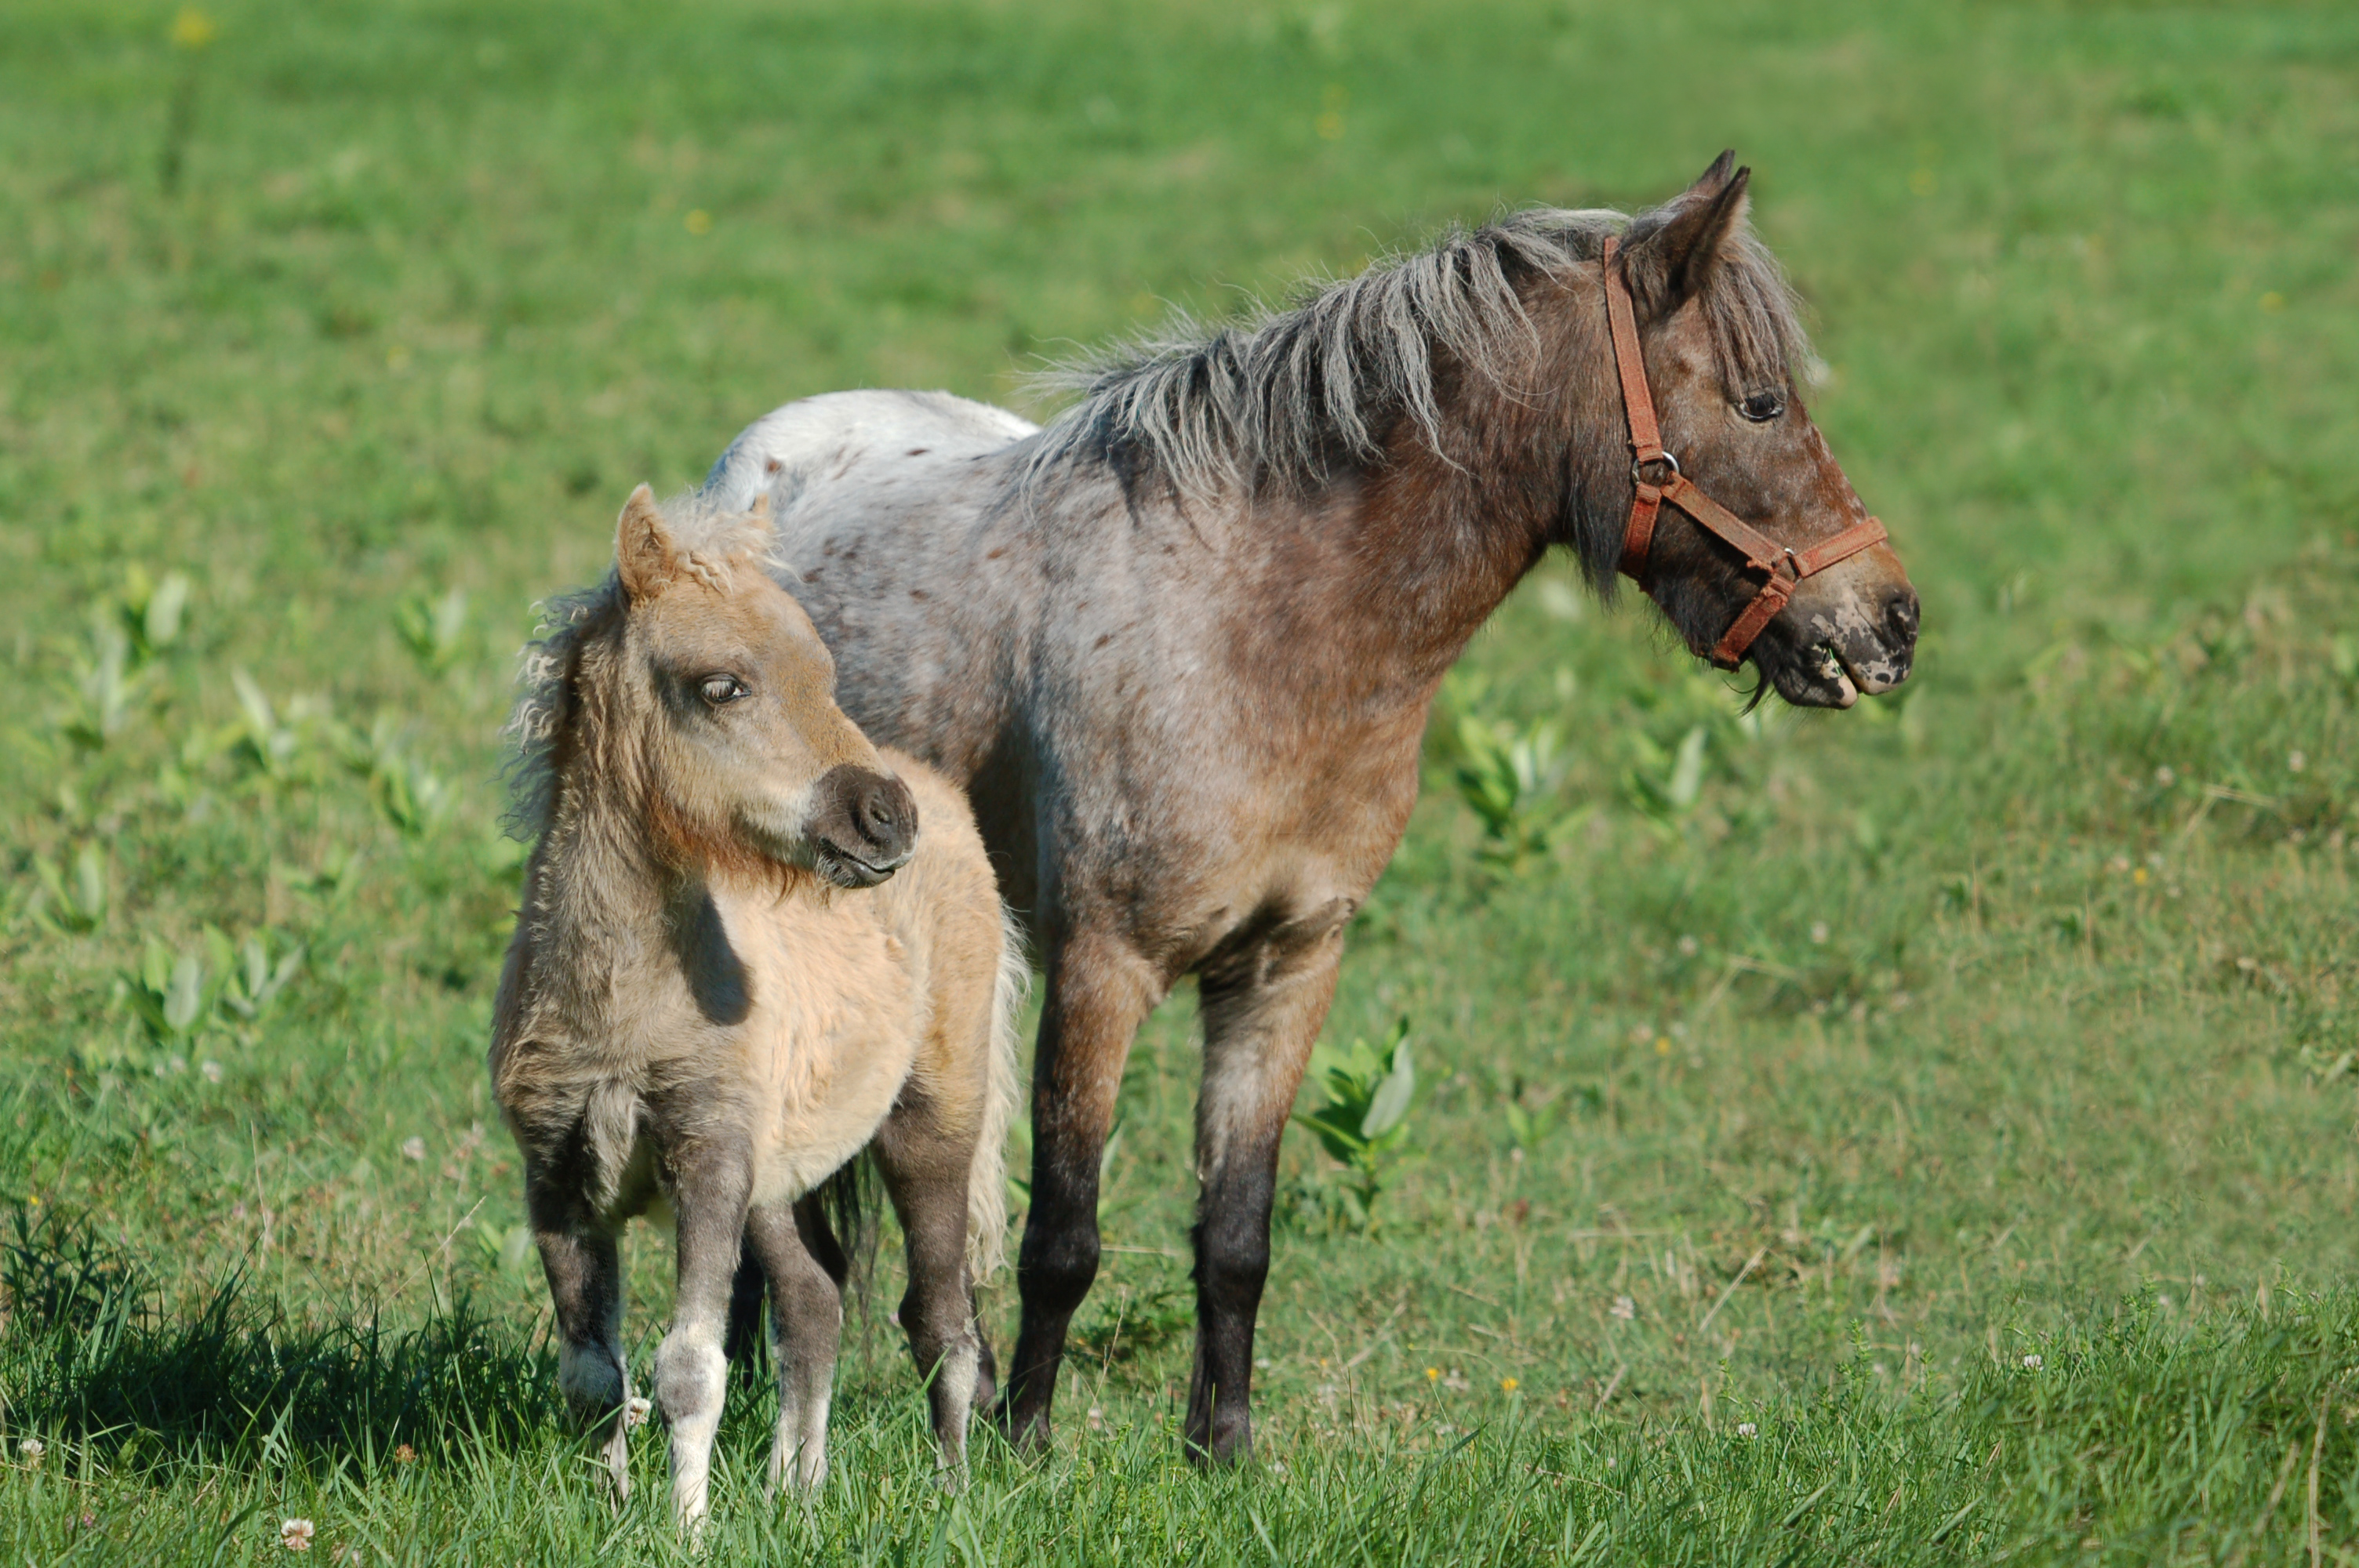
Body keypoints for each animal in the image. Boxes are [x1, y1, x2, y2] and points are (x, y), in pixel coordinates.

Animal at [698, 149, 1915, 1452]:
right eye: (1761, 405)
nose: (1894, 622)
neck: (1258, 631)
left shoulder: (1288, 966)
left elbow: (1237, 1238)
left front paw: (1220, 1451)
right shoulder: (1104, 965)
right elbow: (1063, 1241)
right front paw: (1025, 1449)